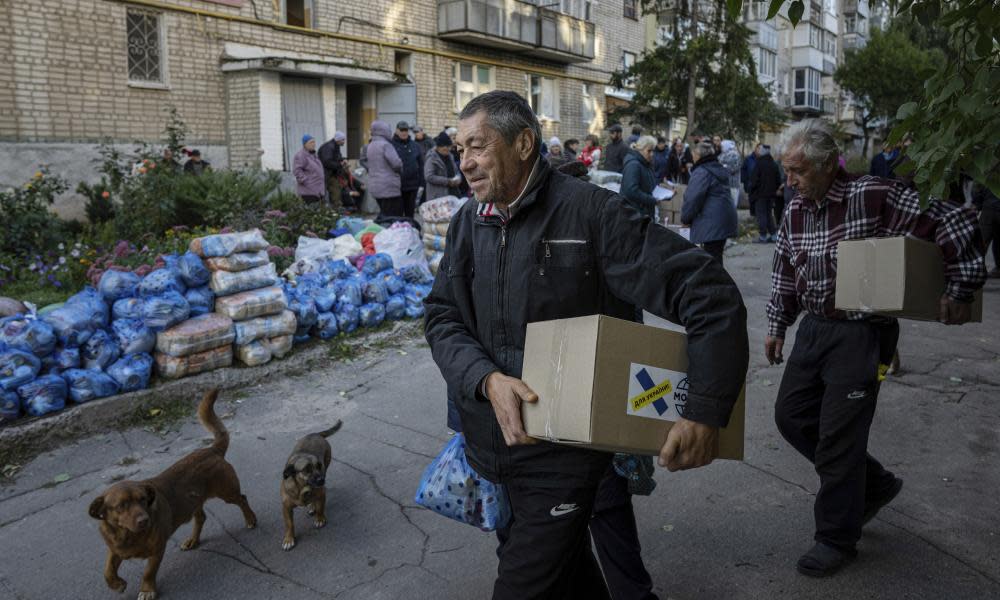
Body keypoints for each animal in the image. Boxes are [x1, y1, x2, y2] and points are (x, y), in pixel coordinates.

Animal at [88, 390, 258, 600]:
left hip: (227, 492)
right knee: (201, 517)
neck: (129, 536)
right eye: (121, 506)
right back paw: (193, 540)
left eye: (143, 500)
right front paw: (117, 584)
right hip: (193, 501)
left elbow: (148, 572)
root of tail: (211, 450)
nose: (144, 520)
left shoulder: (157, 550)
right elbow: (107, 570)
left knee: (242, 499)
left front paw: (147, 589)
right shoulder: (115, 549)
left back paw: (250, 519)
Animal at [282, 420, 344, 552]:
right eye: (307, 469)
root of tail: (316, 434)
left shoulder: (321, 493)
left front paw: (319, 519)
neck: (302, 489)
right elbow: (289, 524)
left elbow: (320, 508)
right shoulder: (286, 507)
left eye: (319, 466)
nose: (322, 480)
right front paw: (289, 539)